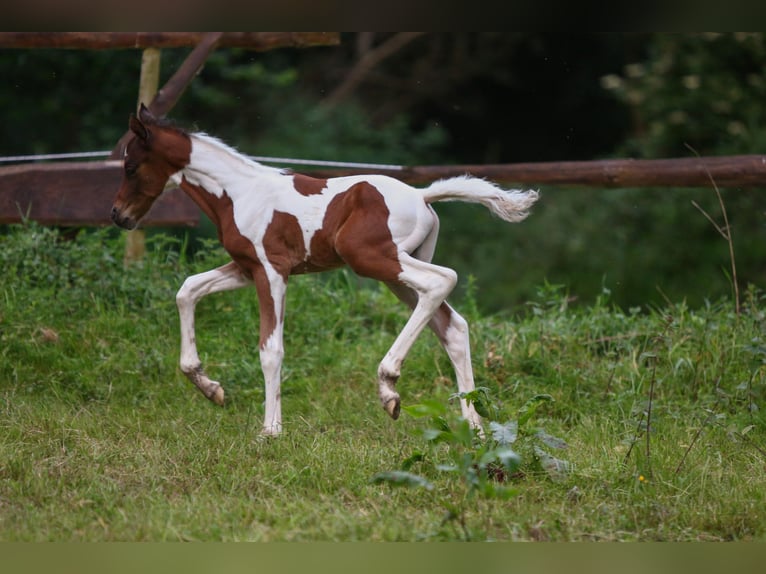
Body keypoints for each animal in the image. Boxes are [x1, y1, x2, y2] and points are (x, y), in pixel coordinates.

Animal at [111, 104, 540, 436]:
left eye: (130, 166)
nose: (118, 216)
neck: (239, 194)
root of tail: (422, 195)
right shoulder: (245, 267)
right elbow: (188, 289)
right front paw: (209, 388)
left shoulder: (272, 270)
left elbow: (271, 348)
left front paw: (270, 430)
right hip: (395, 273)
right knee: (452, 325)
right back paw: (474, 425)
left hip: (373, 258)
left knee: (442, 280)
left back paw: (389, 386)